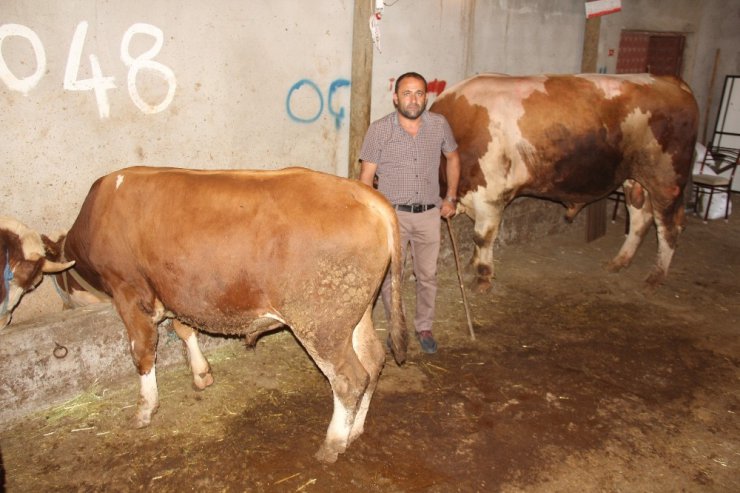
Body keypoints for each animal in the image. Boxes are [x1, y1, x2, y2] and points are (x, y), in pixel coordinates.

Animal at [41, 167, 410, 464]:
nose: (64, 306)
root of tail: (365, 194)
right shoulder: (178, 291)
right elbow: (185, 329)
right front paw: (201, 374)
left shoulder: (129, 292)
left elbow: (142, 352)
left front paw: (144, 410)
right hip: (355, 312)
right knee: (373, 360)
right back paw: (354, 431)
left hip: (321, 323)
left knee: (349, 379)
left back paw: (333, 444)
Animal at [430, 71, 696, 290]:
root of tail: (670, 81)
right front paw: (470, 268)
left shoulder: (491, 195)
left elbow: (482, 237)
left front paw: (482, 277)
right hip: (634, 179)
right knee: (640, 219)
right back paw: (619, 262)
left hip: (666, 180)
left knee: (668, 228)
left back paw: (656, 276)